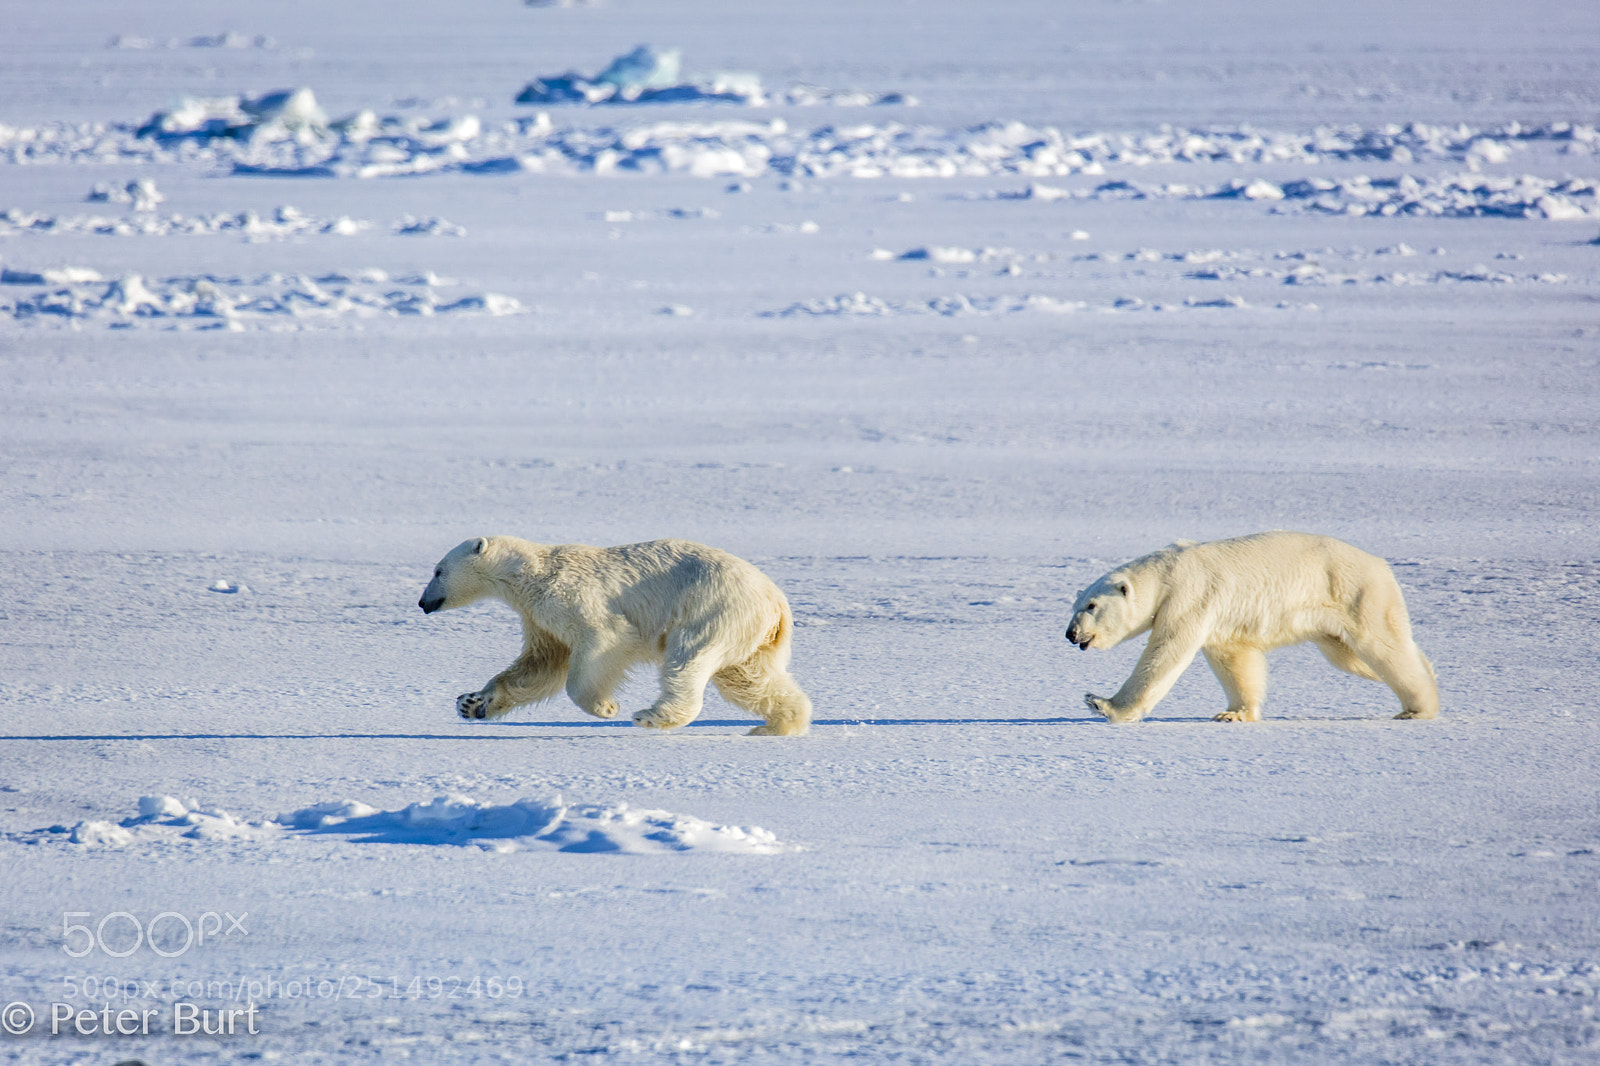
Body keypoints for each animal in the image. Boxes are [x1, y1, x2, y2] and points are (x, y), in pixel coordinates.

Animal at [418, 536, 812, 736]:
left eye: (438, 570)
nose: (422, 603)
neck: (530, 572)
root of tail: (777, 600)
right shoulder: (538, 618)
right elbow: (538, 667)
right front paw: (472, 703)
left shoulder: (569, 595)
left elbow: (602, 640)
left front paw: (606, 707)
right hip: (749, 631)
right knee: (747, 679)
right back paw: (778, 725)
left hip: (713, 609)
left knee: (688, 659)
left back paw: (651, 716)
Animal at [1064, 531, 1438, 723]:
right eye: (1074, 605)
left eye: (1091, 606)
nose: (1071, 634)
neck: (1166, 572)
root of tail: (1381, 565)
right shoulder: (1219, 620)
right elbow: (1235, 660)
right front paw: (1233, 714)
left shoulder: (1189, 596)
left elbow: (1165, 652)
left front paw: (1101, 703)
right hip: (1335, 620)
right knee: (1352, 657)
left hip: (1356, 594)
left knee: (1381, 647)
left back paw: (1417, 708)